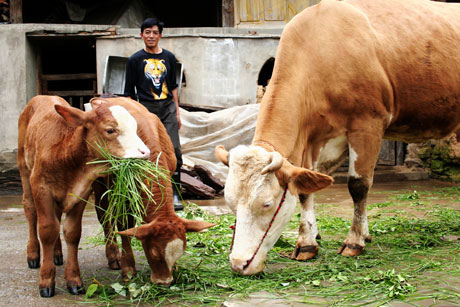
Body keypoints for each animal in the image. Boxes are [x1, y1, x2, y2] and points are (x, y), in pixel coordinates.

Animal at [18, 95, 151, 296]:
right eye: (110, 129)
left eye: (135, 128)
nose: (145, 153)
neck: (68, 156)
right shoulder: (41, 188)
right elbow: (47, 230)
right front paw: (46, 280)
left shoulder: (82, 192)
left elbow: (72, 233)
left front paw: (74, 279)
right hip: (24, 170)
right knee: (30, 210)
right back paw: (33, 254)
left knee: (57, 217)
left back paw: (57, 253)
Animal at [92, 98, 217, 286]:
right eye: (153, 252)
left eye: (180, 253)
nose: (164, 282)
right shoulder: (123, 192)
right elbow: (125, 225)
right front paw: (128, 268)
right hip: (99, 184)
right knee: (105, 217)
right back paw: (113, 255)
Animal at [216, 0, 460, 276]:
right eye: (230, 203)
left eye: (267, 203)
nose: (238, 263)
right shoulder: (315, 139)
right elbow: (306, 191)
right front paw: (307, 243)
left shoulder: (367, 124)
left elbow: (358, 185)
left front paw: (355, 241)